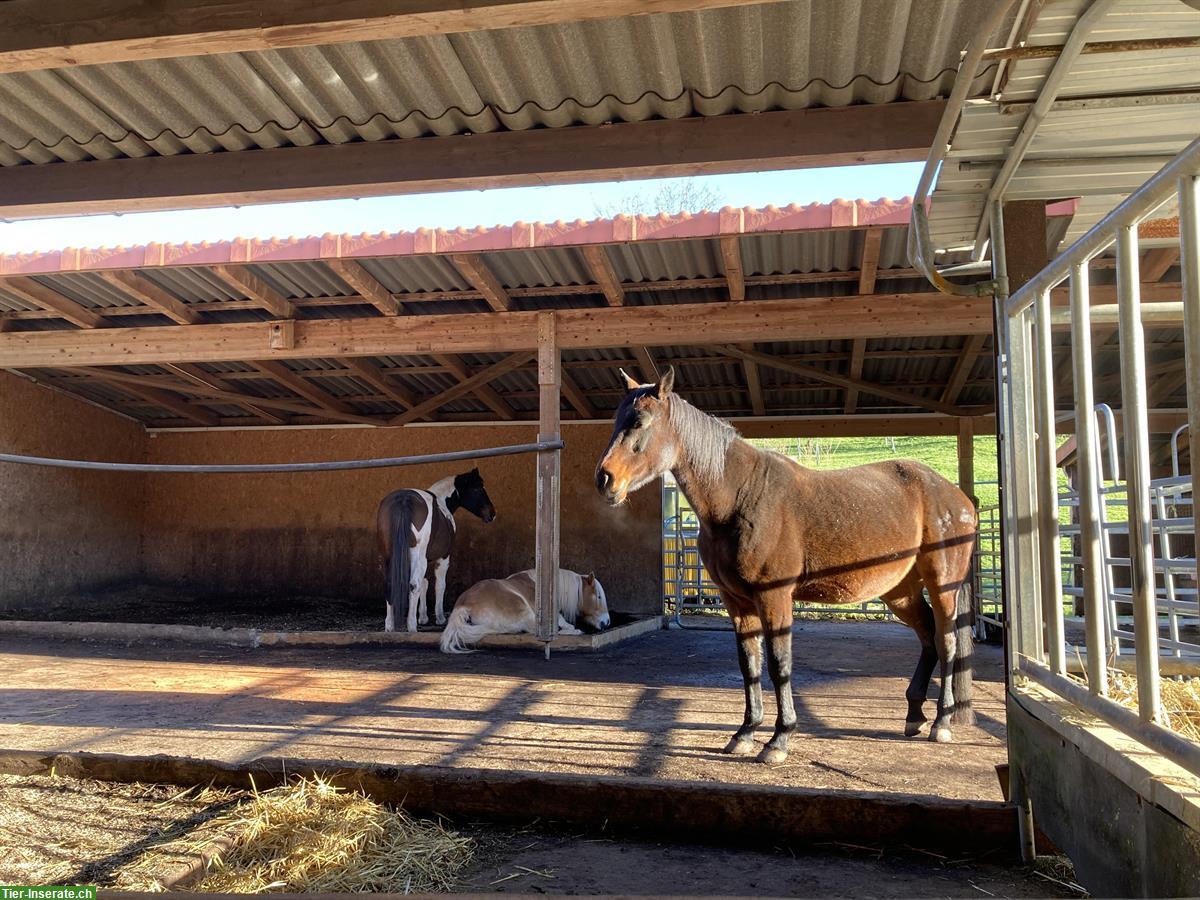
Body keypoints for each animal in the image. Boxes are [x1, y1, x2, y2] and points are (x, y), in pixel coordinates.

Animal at [369, 472, 492, 633]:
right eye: (478, 489)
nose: (492, 513)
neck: (442, 502)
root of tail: (403, 500)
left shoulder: (426, 559)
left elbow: (425, 583)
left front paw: (423, 617)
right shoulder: (443, 558)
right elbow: (439, 585)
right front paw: (440, 618)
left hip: (389, 556)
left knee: (390, 584)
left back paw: (390, 626)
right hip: (417, 557)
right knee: (413, 584)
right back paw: (411, 626)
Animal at [590, 369, 974, 763]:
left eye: (640, 421)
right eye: (616, 420)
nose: (605, 479)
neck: (740, 496)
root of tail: (956, 497)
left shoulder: (774, 597)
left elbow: (779, 664)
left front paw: (779, 739)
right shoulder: (737, 602)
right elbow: (749, 665)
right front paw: (745, 733)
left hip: (942, 584)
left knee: (946, 641)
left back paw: (941, 723)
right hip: (900, 591)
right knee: (927, 636)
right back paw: (914, 716)